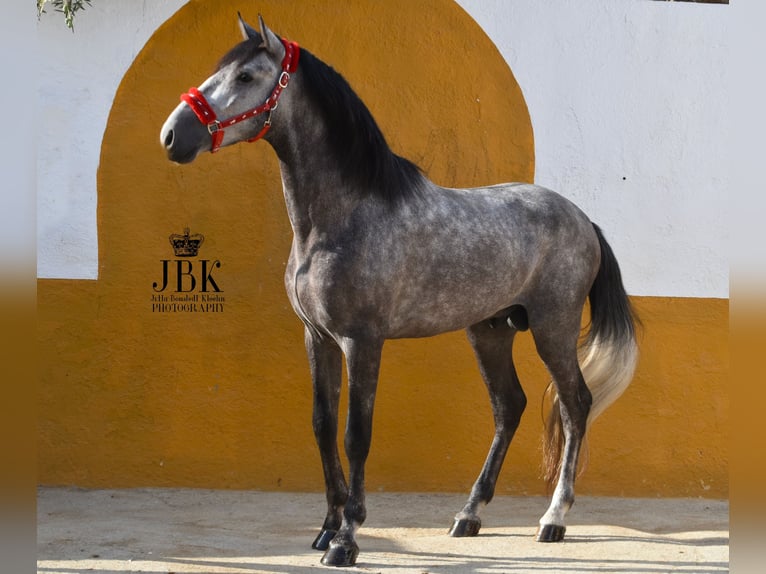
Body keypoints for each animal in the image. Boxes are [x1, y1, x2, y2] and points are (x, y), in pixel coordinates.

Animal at [159, 13, 640, 572]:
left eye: (246, 75)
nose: (172, 135)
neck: (339, 219)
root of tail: (584, 220)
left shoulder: (362, 341)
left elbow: (356, 434)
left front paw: (347, 539)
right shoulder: (317, 338)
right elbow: (322, 425)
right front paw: (326, 528)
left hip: (552, 328)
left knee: (574, 404)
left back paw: (553, 519)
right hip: (490, 330)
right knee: (509, 406)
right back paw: (468, 515)